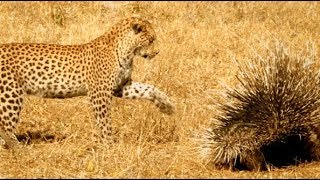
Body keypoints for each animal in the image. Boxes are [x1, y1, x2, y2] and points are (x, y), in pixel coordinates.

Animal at [0, 16, 175, 148]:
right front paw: (110, 145)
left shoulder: (121, 86)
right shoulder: (100, 92)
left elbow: (148, 89)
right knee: (5, 125)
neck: (127, 51)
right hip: (11, 93)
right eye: (151, 40)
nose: (157, 52)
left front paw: (166, 105)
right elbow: (104, 120)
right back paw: (18, 148)